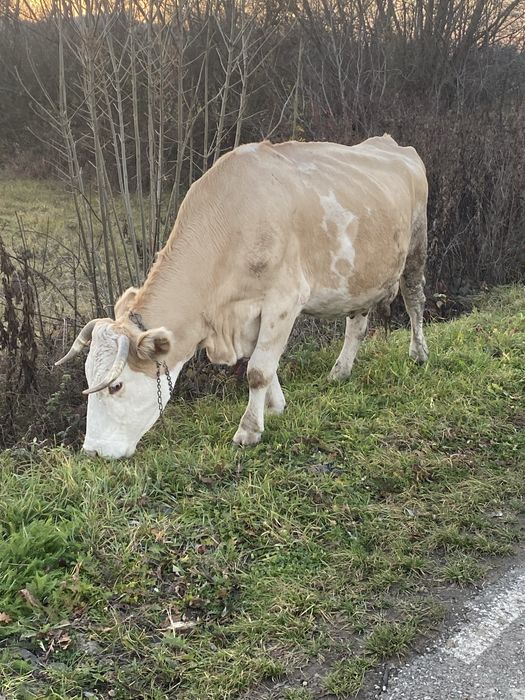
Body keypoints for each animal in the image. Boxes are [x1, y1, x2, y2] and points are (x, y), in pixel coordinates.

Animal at [56, 135, 429, 459]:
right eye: (88, 376)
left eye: (116, 386)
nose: (93, 451)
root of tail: (393, 144)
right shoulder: (246, 314)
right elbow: (261, 362)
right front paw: (275, 408)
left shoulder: (284, 300)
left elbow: (258, 370)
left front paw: (249, 431)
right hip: (361, 275)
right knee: (357, 324)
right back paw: (341, 371)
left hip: (416, 247)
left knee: (414, 301)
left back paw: (419, 354)